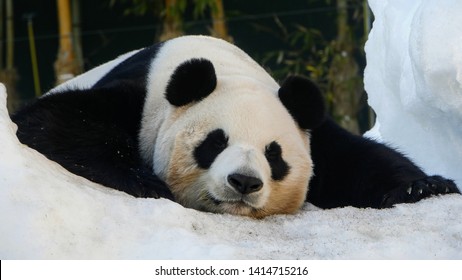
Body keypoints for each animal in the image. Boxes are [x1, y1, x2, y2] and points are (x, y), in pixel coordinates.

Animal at [10, 35, 458, 219]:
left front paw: (423, 186)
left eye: (274, 155)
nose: (244, 182)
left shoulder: (305, 124)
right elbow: (54, 121)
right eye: (214, 143)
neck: (222, 67)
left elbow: (355, 159)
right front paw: (146, 182)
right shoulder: (145, 99)